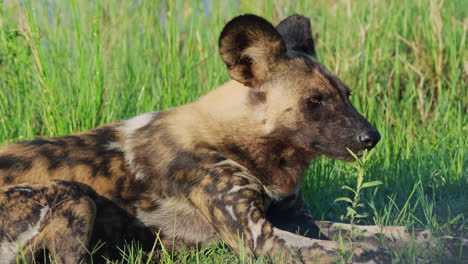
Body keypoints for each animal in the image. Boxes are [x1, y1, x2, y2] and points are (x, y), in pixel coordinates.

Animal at [0, 13, 464, 264]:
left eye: (346, 95)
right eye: (314, 100)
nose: (372, 137)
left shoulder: (297, 220)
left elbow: (390, 232)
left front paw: (446, 241)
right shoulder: (261, 238)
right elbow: (360, 252)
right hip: (73, 194)